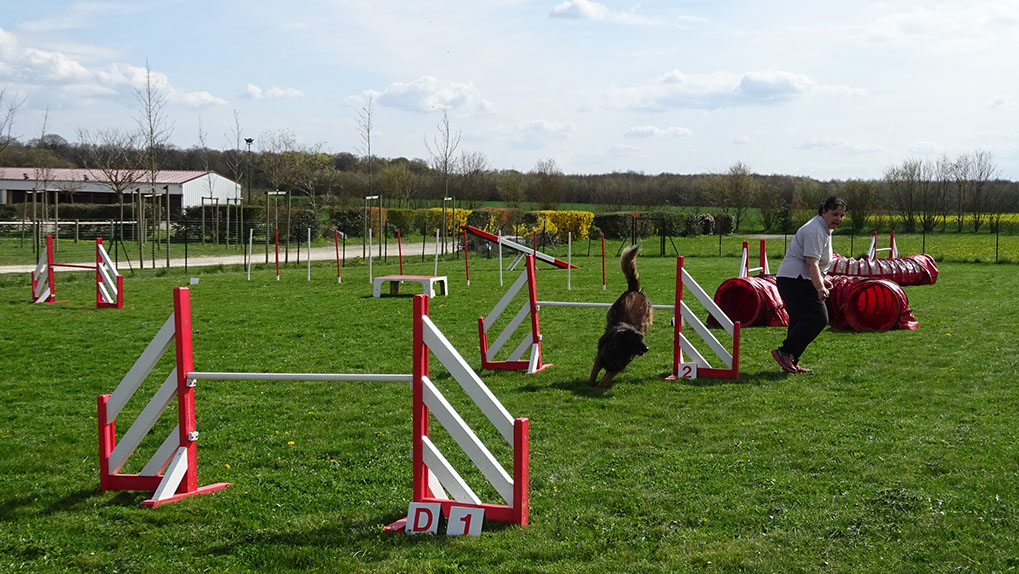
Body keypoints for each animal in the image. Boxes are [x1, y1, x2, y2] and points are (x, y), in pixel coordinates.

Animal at [588, 245, 653, 389]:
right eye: (635, 339)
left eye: (642, 338)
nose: (647, 348)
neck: (620, 349)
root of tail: (634, 290)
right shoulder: (600, 358)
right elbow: (593, 376)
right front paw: (589, 386)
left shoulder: (618, 366)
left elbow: (604, 380)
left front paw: (598, 386)